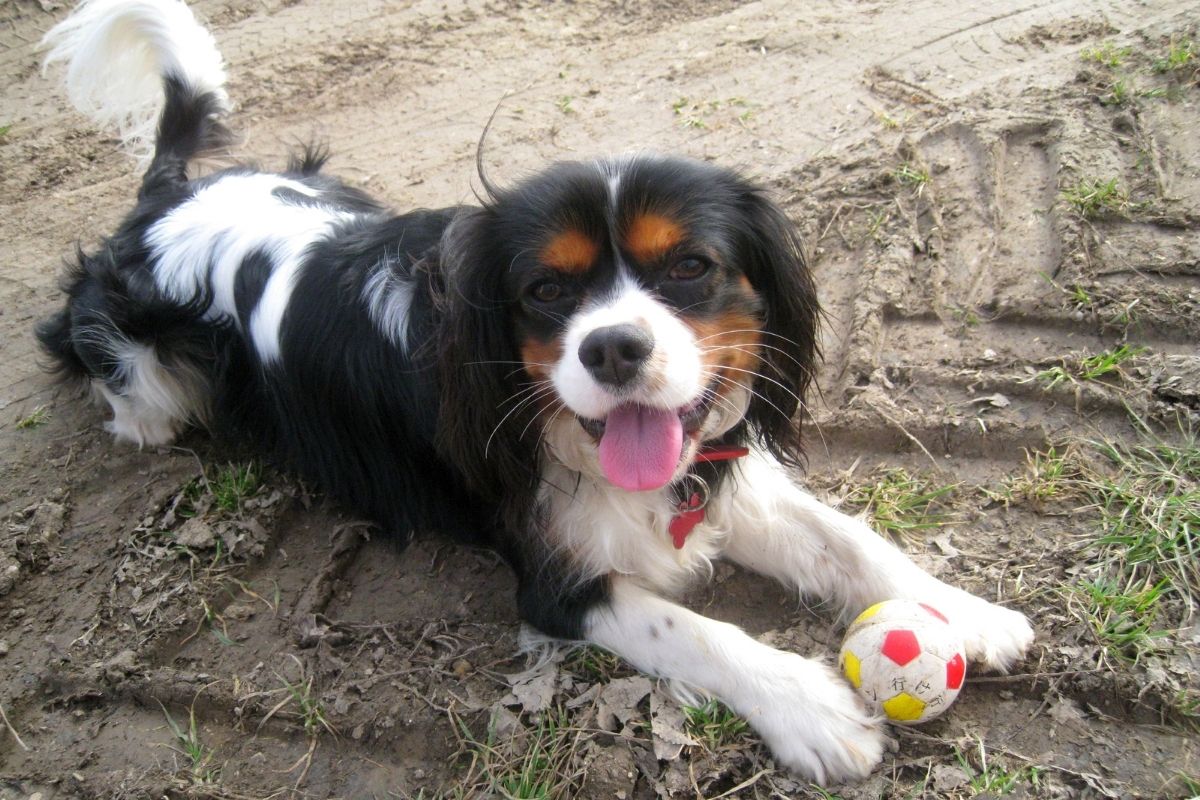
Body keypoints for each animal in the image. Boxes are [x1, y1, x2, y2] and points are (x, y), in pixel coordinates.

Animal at [37, 0, 1032, 782]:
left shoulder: (714, 478)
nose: (615, 347)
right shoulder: (558, 581)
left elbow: (849, 539)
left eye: (691, 267)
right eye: (546, 291)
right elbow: (693, 631)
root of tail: (165, 201)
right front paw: (815, 711)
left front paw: (967, 614)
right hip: (137, 364)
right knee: (134, 398)